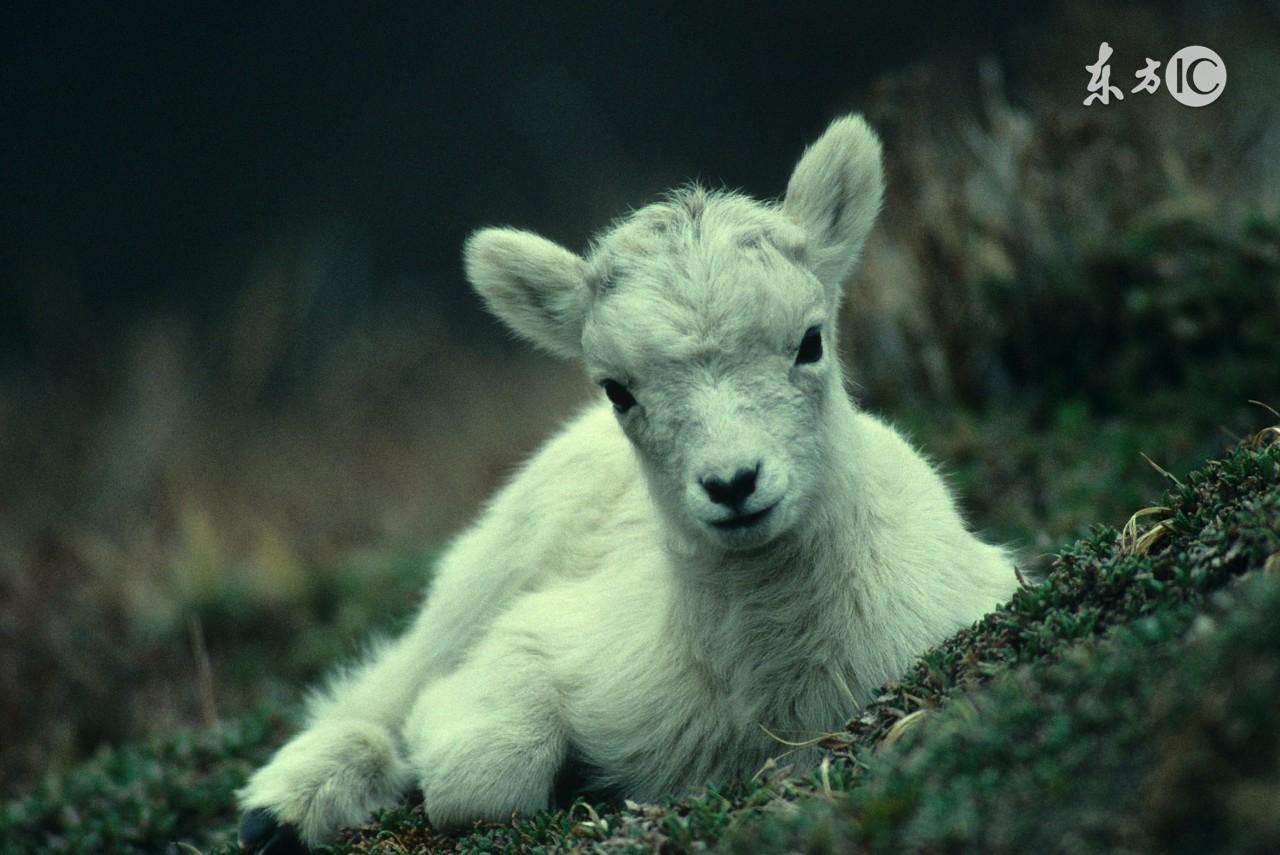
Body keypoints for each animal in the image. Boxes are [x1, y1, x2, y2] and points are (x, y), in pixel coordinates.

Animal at [235, 115, 1018, 855]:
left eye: (810, 341)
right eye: (617, 388)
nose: (732, 483)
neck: (766, 692)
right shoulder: (534, 639)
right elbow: (478, 769)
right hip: (483, 576)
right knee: (387, 688)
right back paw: (280, 808)